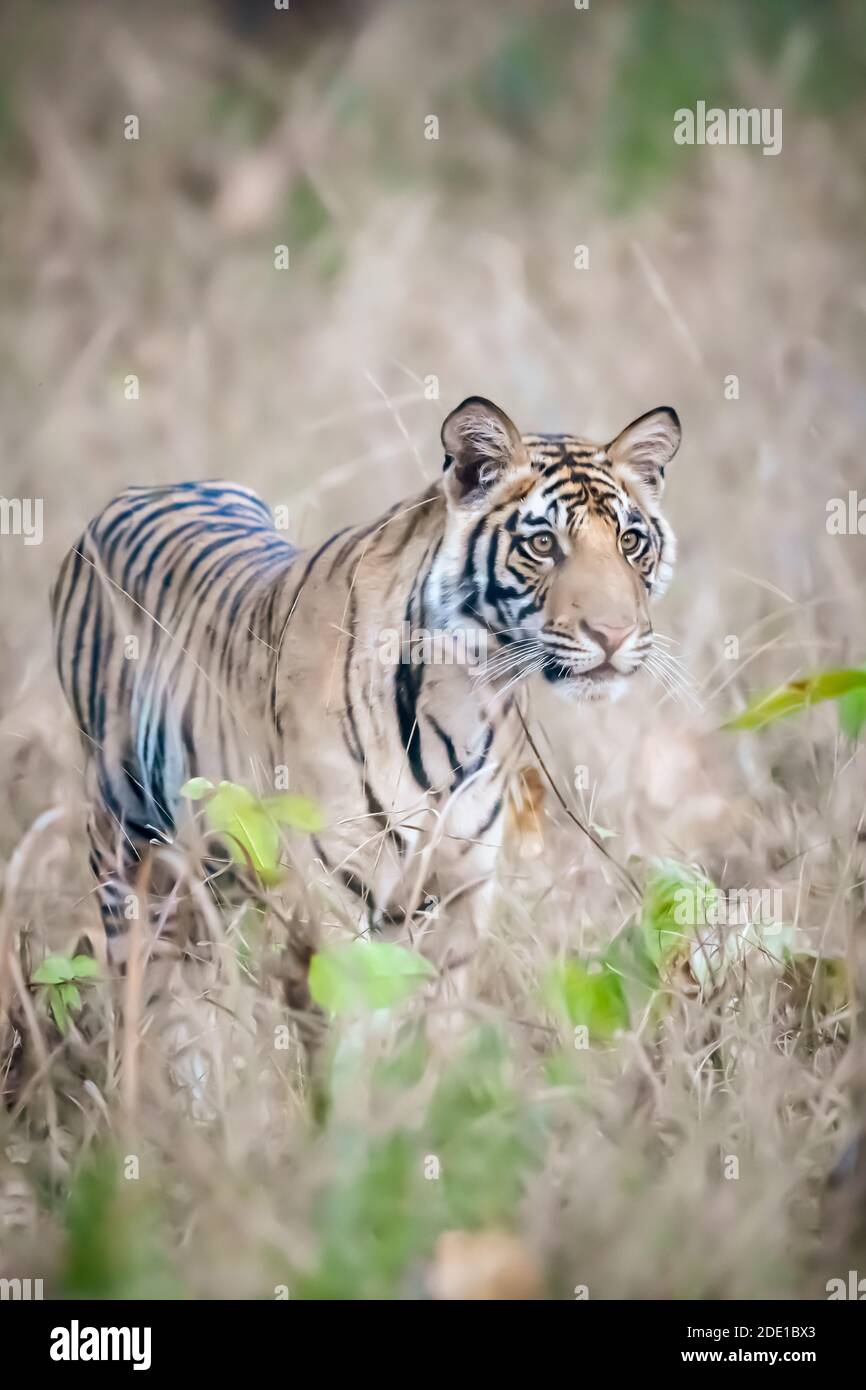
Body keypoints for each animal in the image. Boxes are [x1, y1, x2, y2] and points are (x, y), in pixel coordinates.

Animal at [50, 395, 681, 1006]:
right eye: (544, 544)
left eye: (630, 542)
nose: (613, 634)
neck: (470, 697)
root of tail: (144, 490)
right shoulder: (333, 890)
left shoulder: (461, 893)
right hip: (126, 848)